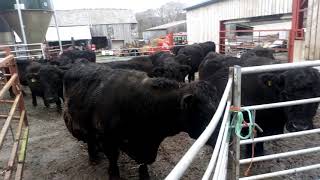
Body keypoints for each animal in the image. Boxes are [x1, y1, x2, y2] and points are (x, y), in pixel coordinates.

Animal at [62, 63, 218, 179]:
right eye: (202, 112)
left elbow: (143, 164)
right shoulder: (108, 139)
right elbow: (113, 159)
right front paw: (114, 174)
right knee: (89, 139)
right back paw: (93, 157)